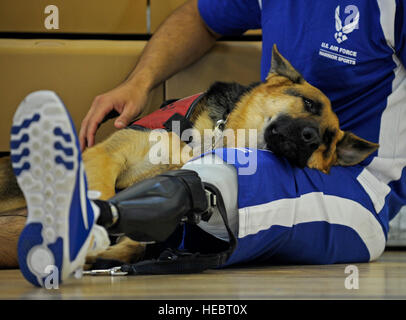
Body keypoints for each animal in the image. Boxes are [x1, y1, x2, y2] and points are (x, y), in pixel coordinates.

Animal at [0, 46, 378, 268]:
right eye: (309, 104)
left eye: (327, 141)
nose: (311, 138)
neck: (210, 141)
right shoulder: (107, 156)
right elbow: (103, 193)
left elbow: (138, 240)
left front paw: (112, 253)